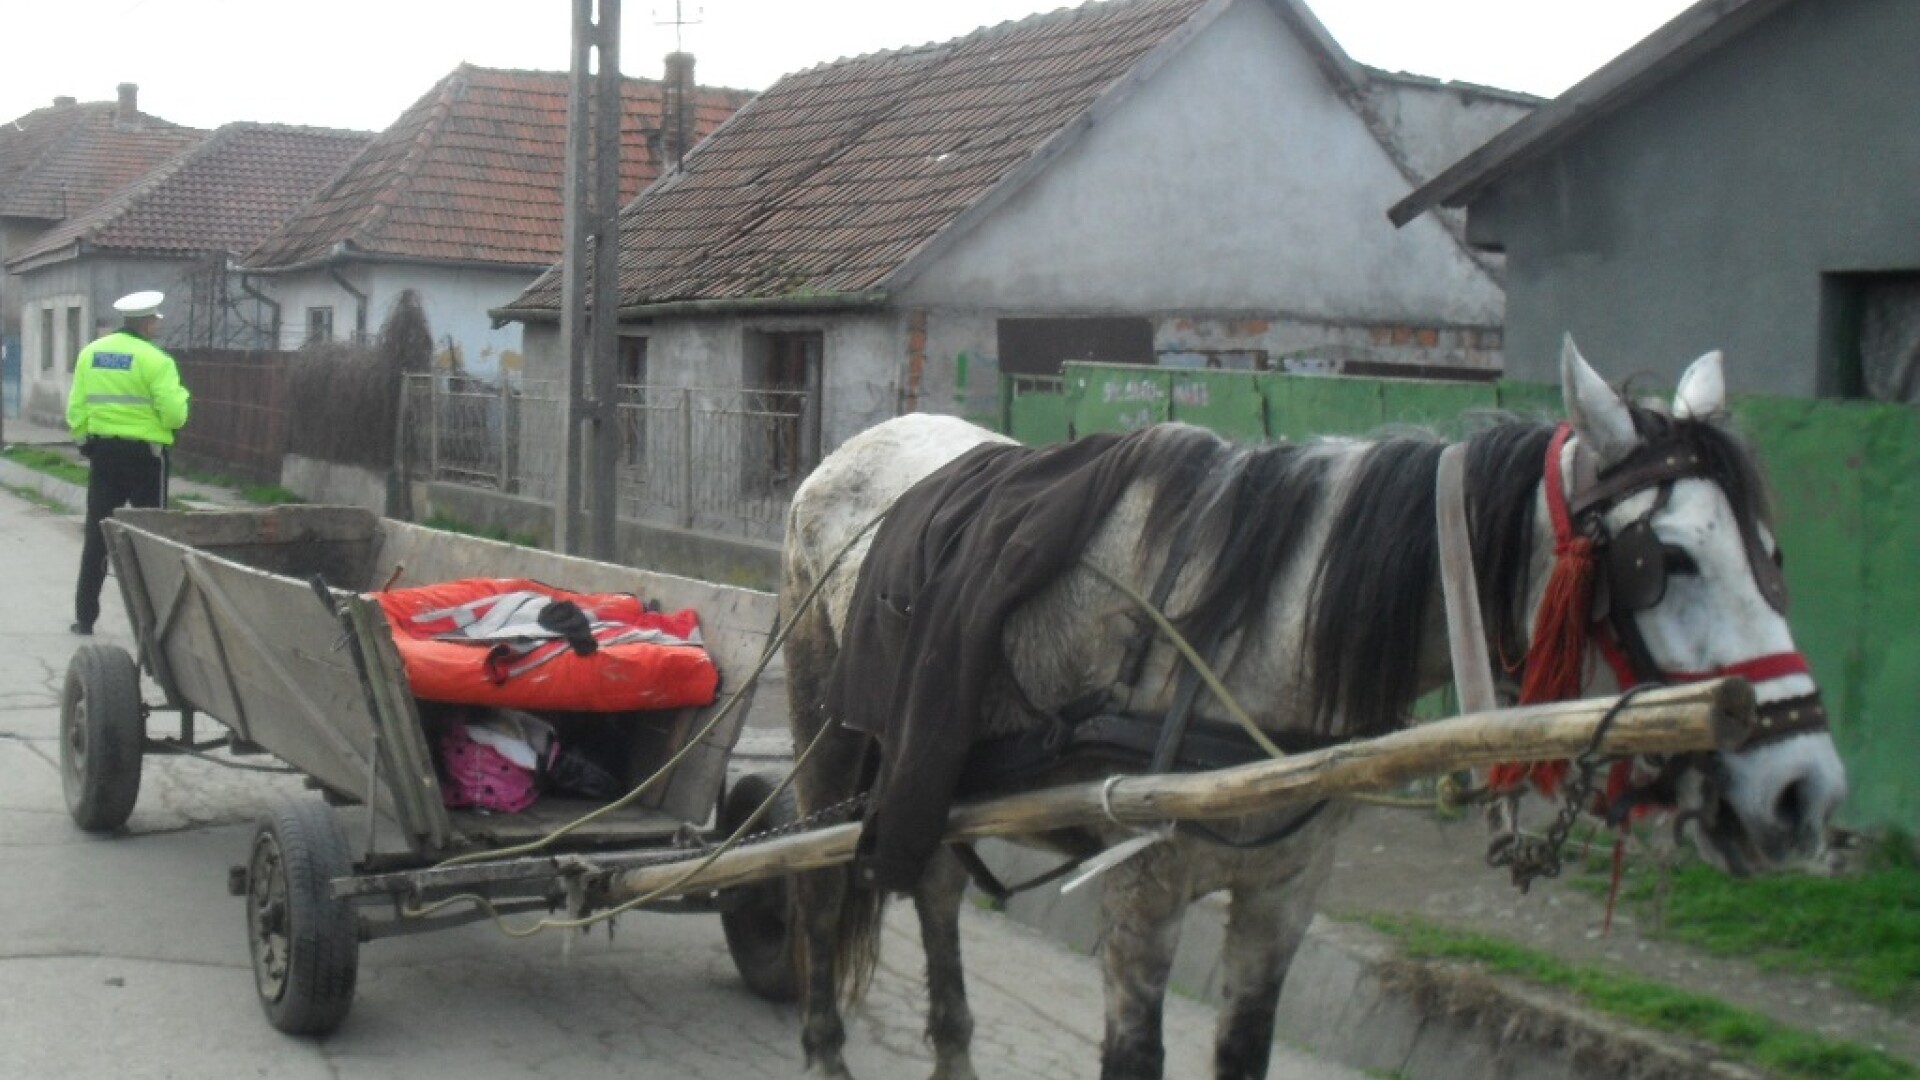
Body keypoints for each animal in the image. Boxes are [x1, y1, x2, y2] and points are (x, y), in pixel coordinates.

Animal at [775, 338, 1843, 1076]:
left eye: (1771, 554)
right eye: (1666, 561)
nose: (1806, 794)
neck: (1259, 629)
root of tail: (851, 450)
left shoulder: (1281, 897)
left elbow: (1245, 1049)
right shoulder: (1141, 900)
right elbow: (1135, 1056)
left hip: (934, 769)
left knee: (934, 886)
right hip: (831, 734)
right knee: (819, 883)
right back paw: (822, 1043)